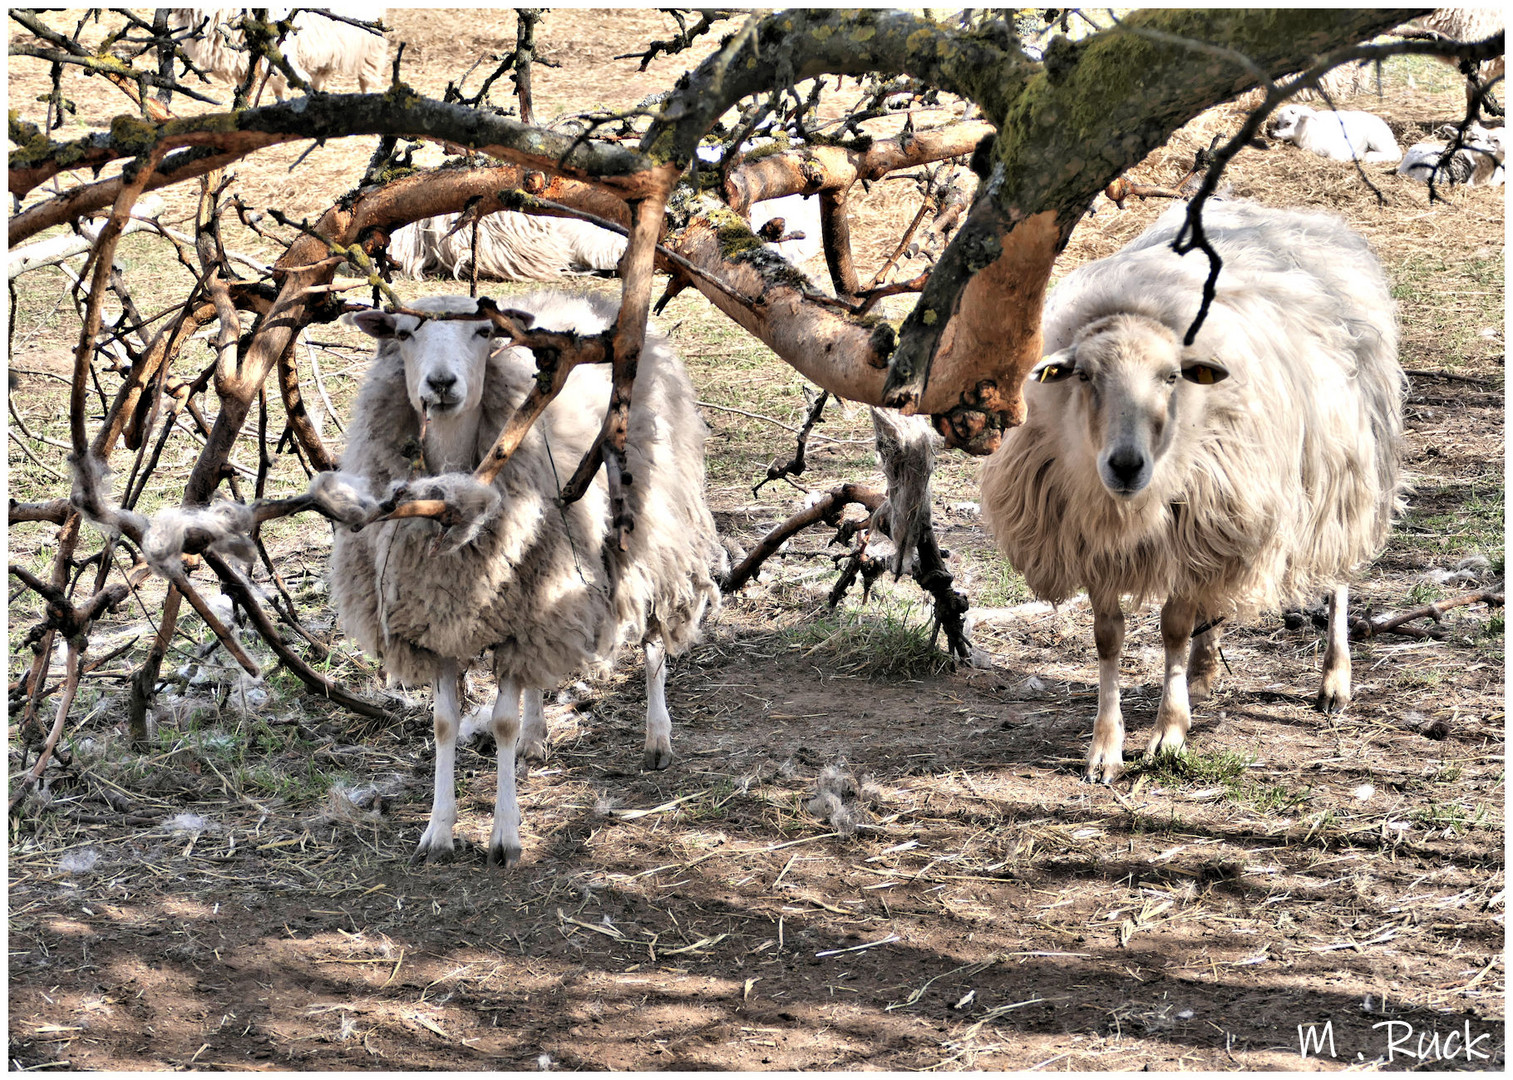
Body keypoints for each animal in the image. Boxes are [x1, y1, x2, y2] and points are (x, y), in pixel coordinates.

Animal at [980, 198, 1404, 780]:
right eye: (1084, 375)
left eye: (1171, 376)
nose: (1125, 465)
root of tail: (1299, 217)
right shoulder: (1098, 542)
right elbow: (1109, 636)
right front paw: (1105, 747)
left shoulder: (1194, 522)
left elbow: (1174, 629)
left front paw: (1169, 734)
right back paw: (1204, 672)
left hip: (1339, 476)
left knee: (1337, 577)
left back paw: (1334, 680)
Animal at [1258, 104, 1398, 163]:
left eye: (1288, 123)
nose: (1271, 133)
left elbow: (1334, 156)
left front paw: (1357, 155)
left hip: (1376, 138)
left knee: (1396, 153)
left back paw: (1369, 156)